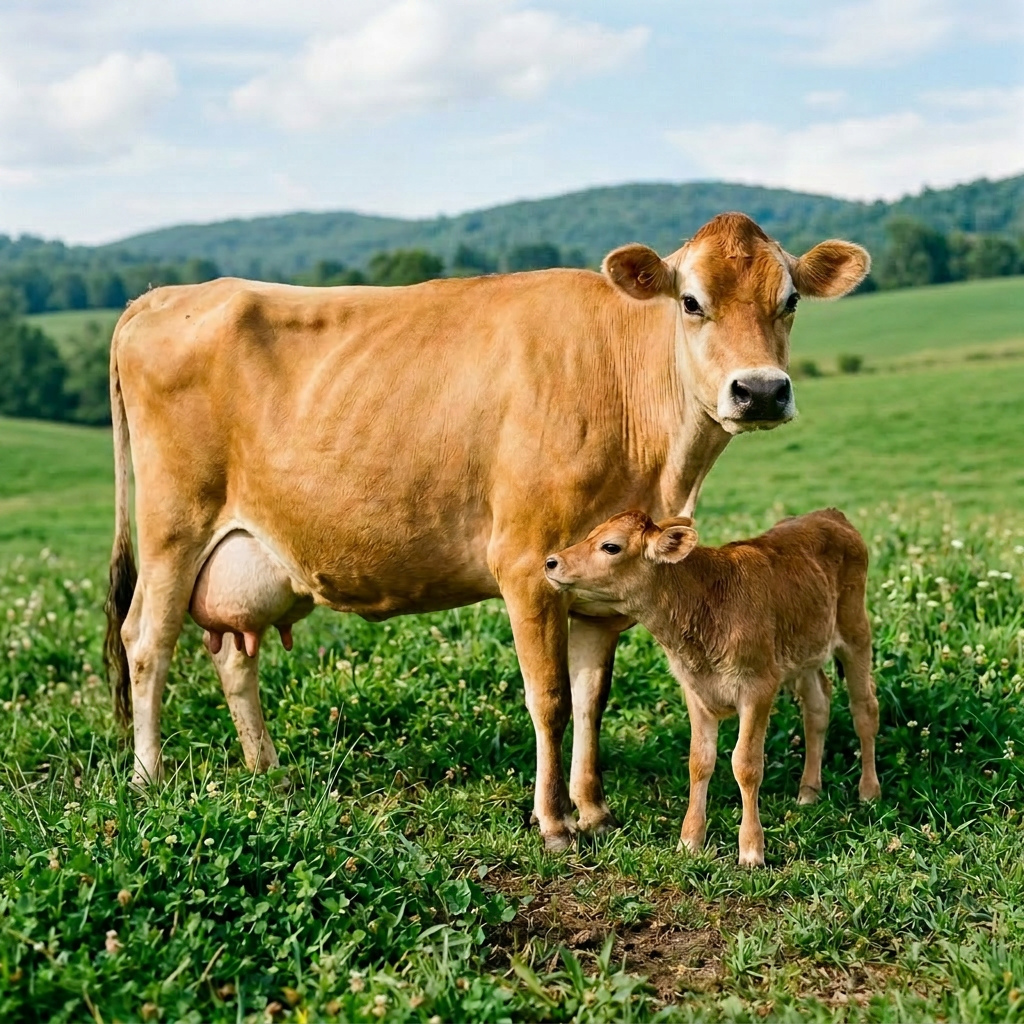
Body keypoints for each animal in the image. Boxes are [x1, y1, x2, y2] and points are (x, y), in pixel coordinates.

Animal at [543, 508, 881, 866]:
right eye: (590, 534)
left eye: (611, 546)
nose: (551, 562)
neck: (705, 602)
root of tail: (828, 514)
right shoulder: (695, 690)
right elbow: (699, 761)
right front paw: (690, 840)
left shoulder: (758, 687)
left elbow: (746, 765)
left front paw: (751, 850)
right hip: (805, 651)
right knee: (817, 706)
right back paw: (808, 792)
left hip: (856, 631)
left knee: (864, 709)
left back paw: (869, 792)